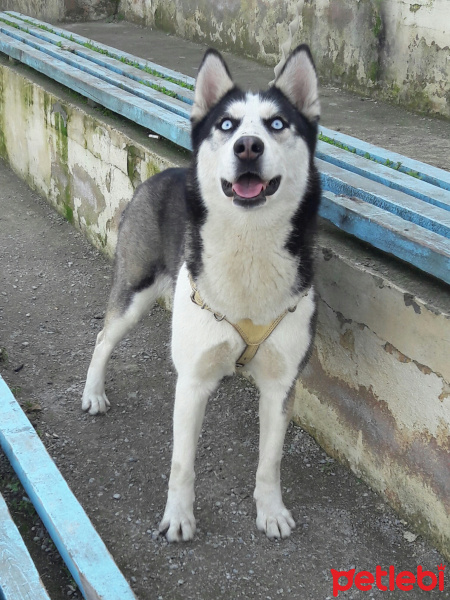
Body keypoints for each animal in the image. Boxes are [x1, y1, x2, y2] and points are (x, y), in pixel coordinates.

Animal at [81, 45, 320, 544]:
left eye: (277, 123)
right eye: (226, 124)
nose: (248, 146)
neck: (249, 248)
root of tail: (163, 173)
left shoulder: (281, 384)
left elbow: (270, 461)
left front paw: (271, 510)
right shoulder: (190, 384)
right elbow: (181, 464)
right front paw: (178, 517)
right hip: (134, 290)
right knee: (104, 337)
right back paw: (93, 392)